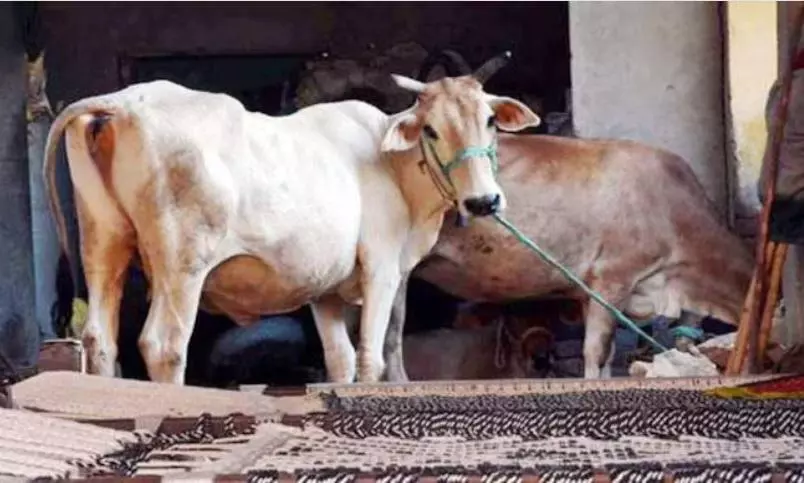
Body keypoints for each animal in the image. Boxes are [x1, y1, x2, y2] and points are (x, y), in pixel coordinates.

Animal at [42, 54, 539, 385]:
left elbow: (340, 360)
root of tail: (124, 102)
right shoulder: (381, 268)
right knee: (164, 345)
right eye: (432, 129)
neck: (390, 162)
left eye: (490, 120)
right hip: (182, 264)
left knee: (100, 341)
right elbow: (371, 358)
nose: (483, 201)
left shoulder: (326, 291)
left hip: (103, 244)